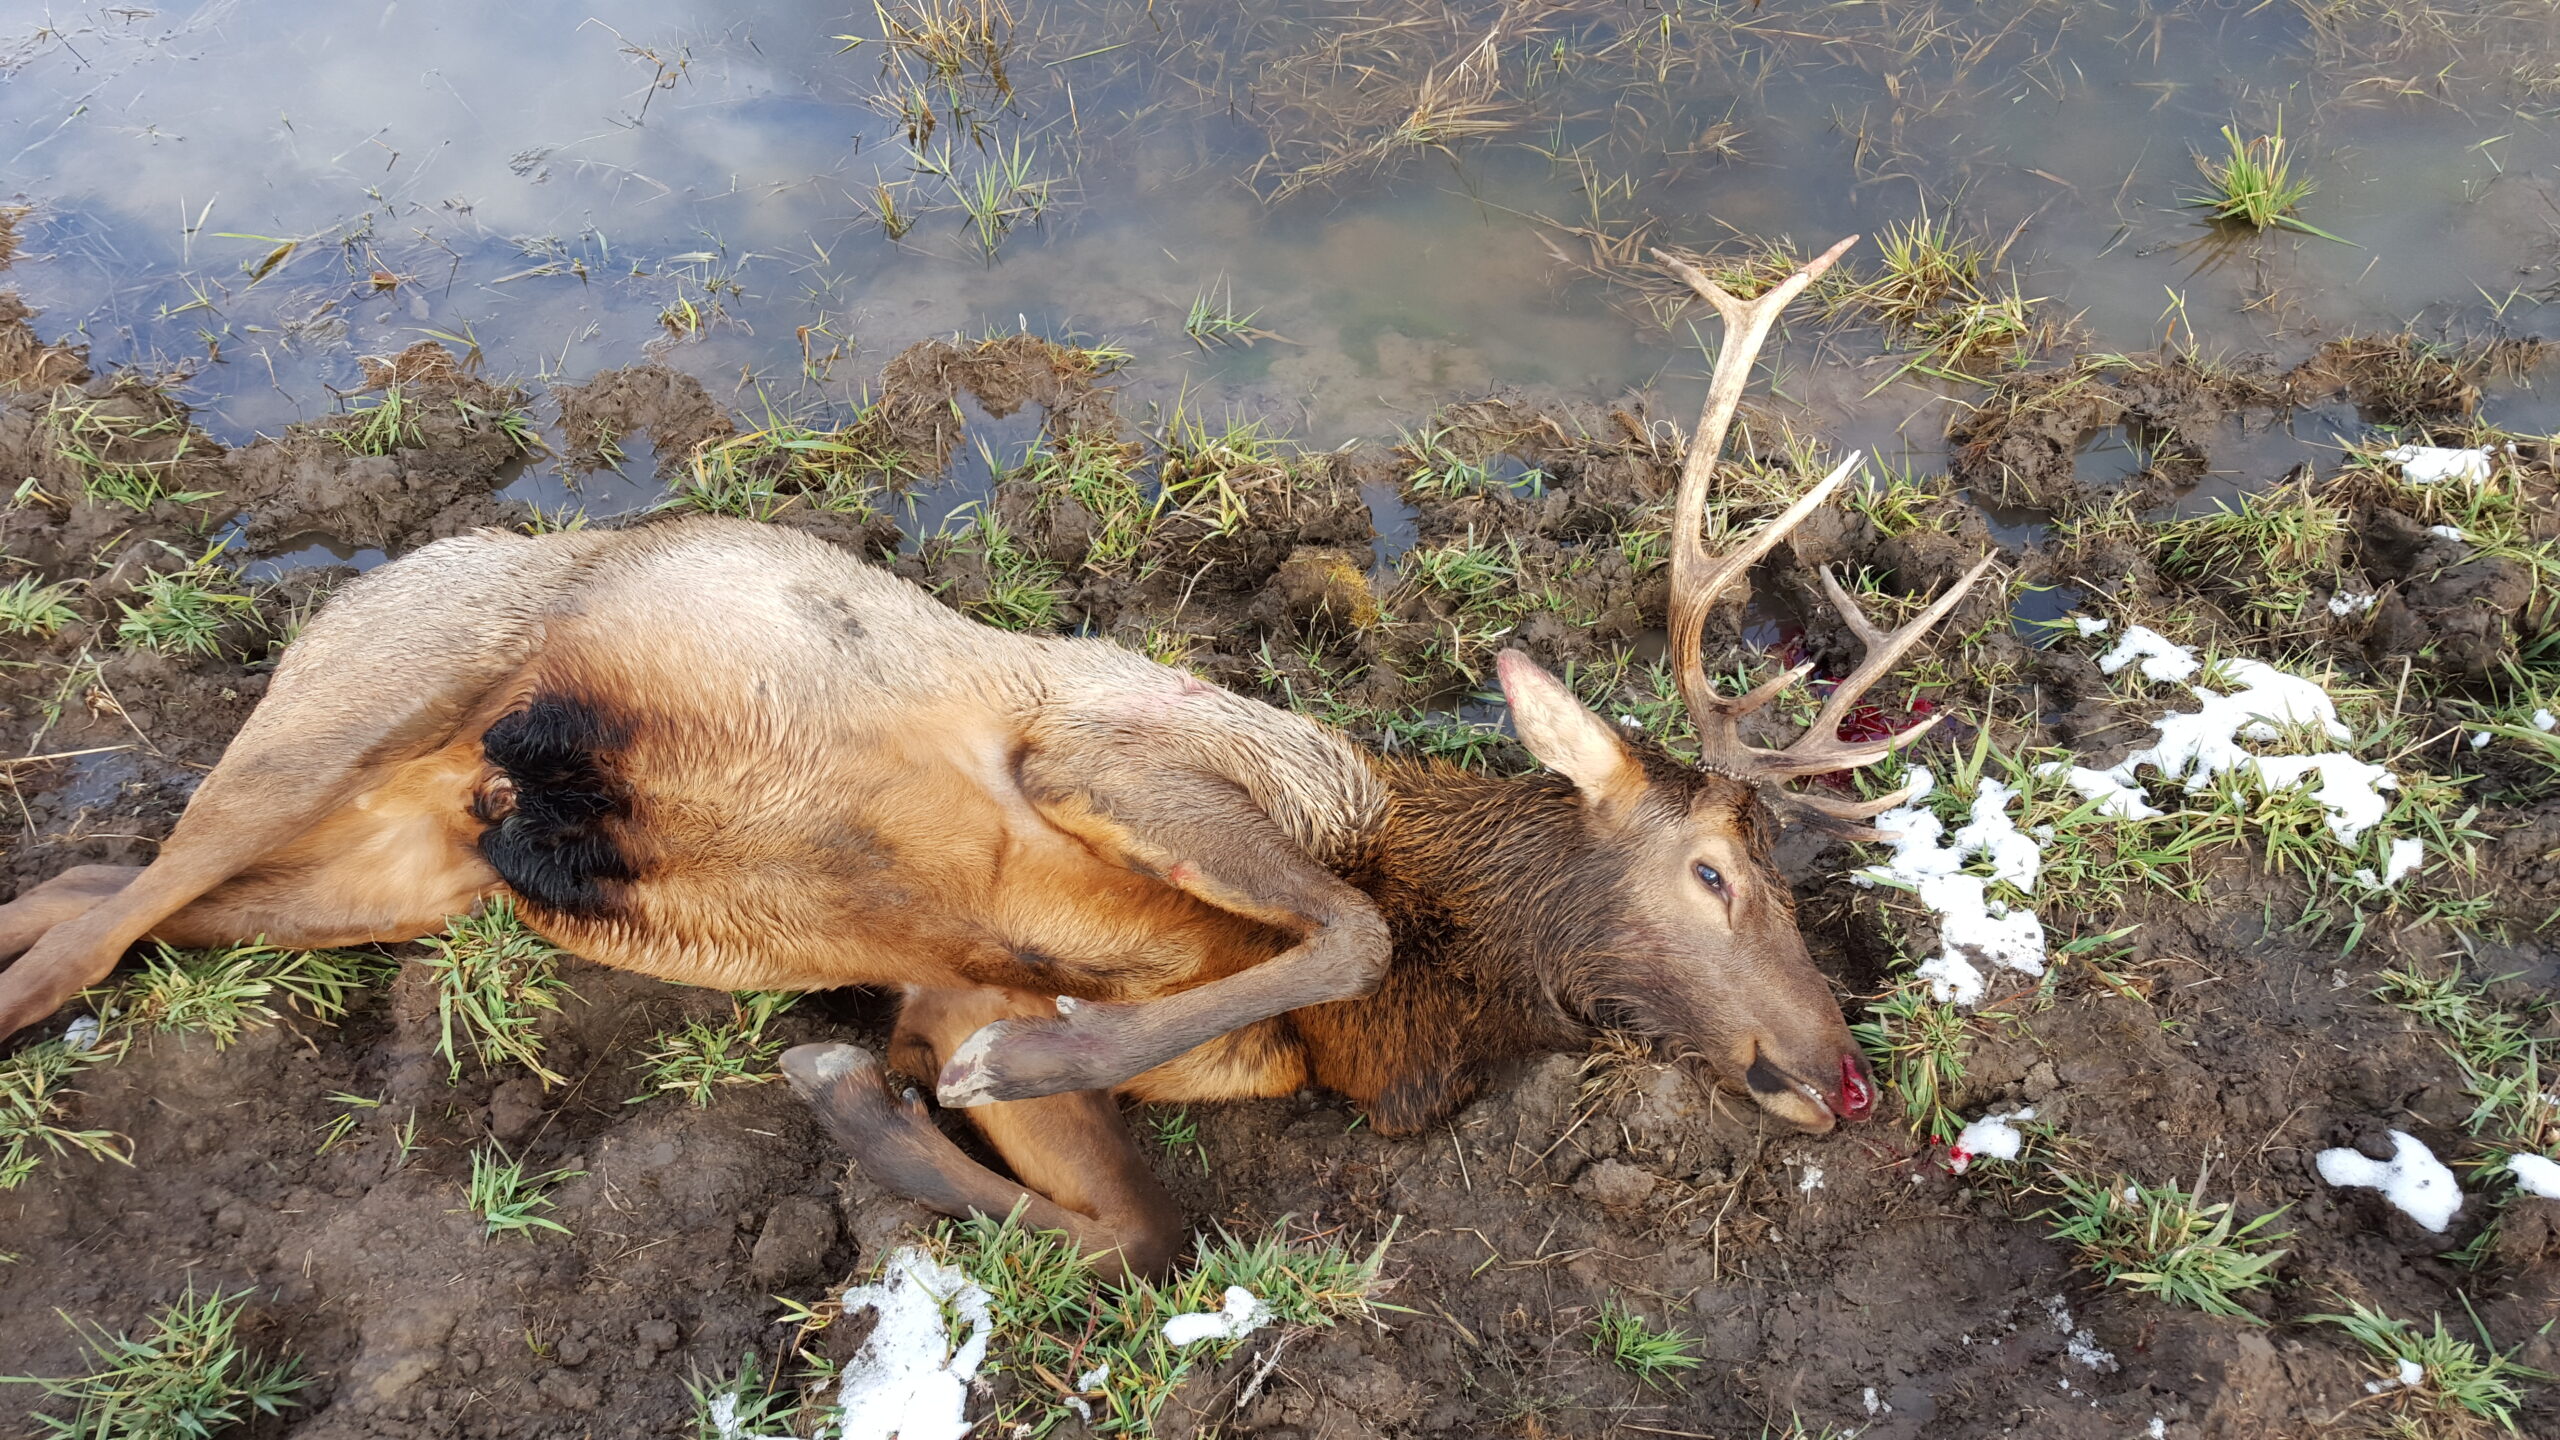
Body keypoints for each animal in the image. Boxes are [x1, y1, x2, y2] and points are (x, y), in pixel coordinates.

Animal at [0, 233, 1986, 1265]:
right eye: (1715, 870)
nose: (1840, 1077)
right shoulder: (1110, 755)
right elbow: (1314, 934)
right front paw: (993, 1065)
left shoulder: (958, 972)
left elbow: (1127, 1229)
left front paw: (864, 1092)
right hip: (360, 702)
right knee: (100, 918)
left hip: (396, 872)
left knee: (90, 884)